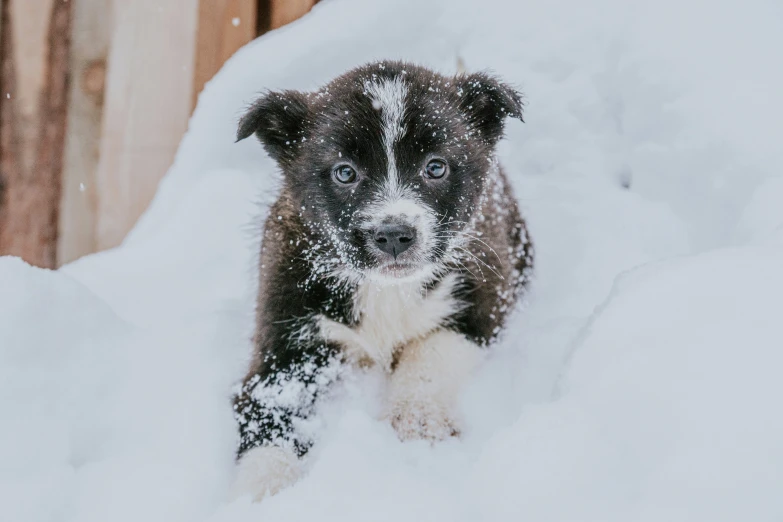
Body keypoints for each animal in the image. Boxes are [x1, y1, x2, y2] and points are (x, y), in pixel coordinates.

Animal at [227, 61, 532, 500]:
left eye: (435, 167)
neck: (386, 289)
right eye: (344, 173)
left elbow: (433, 349)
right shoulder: (285, 339)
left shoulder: (485, 296)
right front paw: (261, 491)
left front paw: (418, 417)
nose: (392, 235)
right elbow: (272, 408)